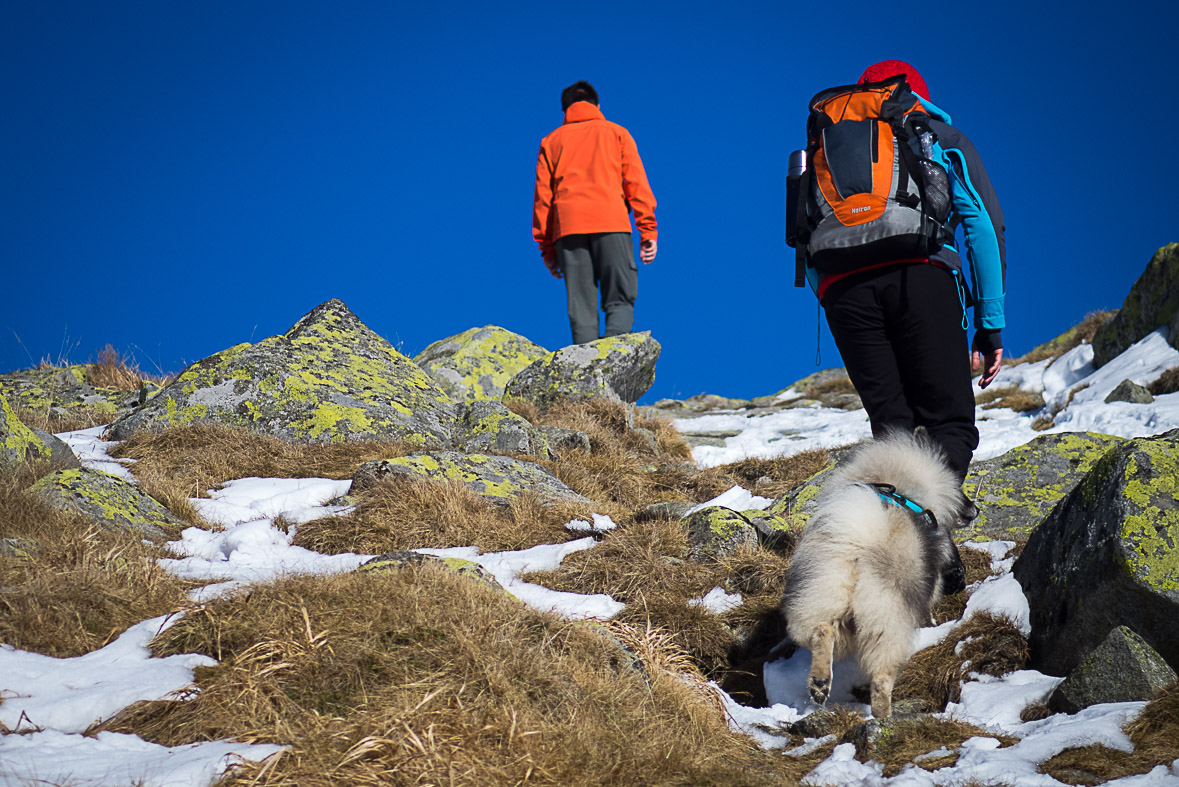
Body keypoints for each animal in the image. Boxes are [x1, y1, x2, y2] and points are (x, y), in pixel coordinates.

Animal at [778, 431, 971, 721]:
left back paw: (820, 683)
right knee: (881, 678)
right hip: (886, 622)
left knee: (822, 630)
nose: (974, 510)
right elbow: (928, 609)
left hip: (821, 595)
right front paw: (932, 625)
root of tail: (858, 543)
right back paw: (883, 717)